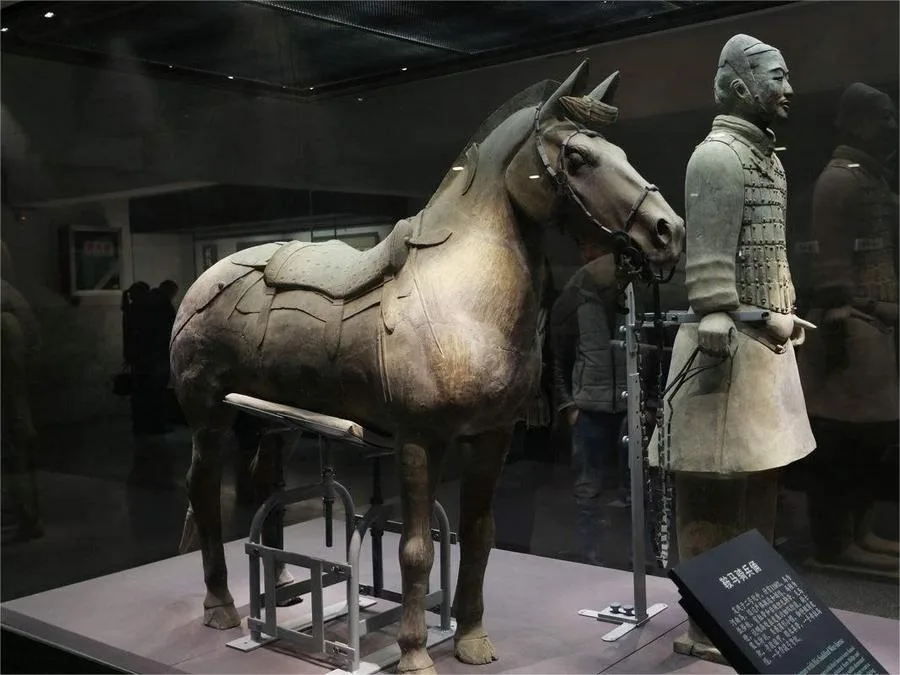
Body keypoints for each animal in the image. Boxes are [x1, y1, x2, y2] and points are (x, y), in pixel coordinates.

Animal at [172, 60, 684, 672]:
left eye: (621, 151)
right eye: (579, 158)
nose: (669, 232)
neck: (462, 294)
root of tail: (207, 278)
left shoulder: (493, 437)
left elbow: (478, 534)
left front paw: (472, 639)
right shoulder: (419, 441)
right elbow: (414, 550)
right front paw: (416, 653)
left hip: (279, 421)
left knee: (266, 482)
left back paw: (282, 590)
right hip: (209, 416)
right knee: (204, 490)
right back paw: (223, 605)